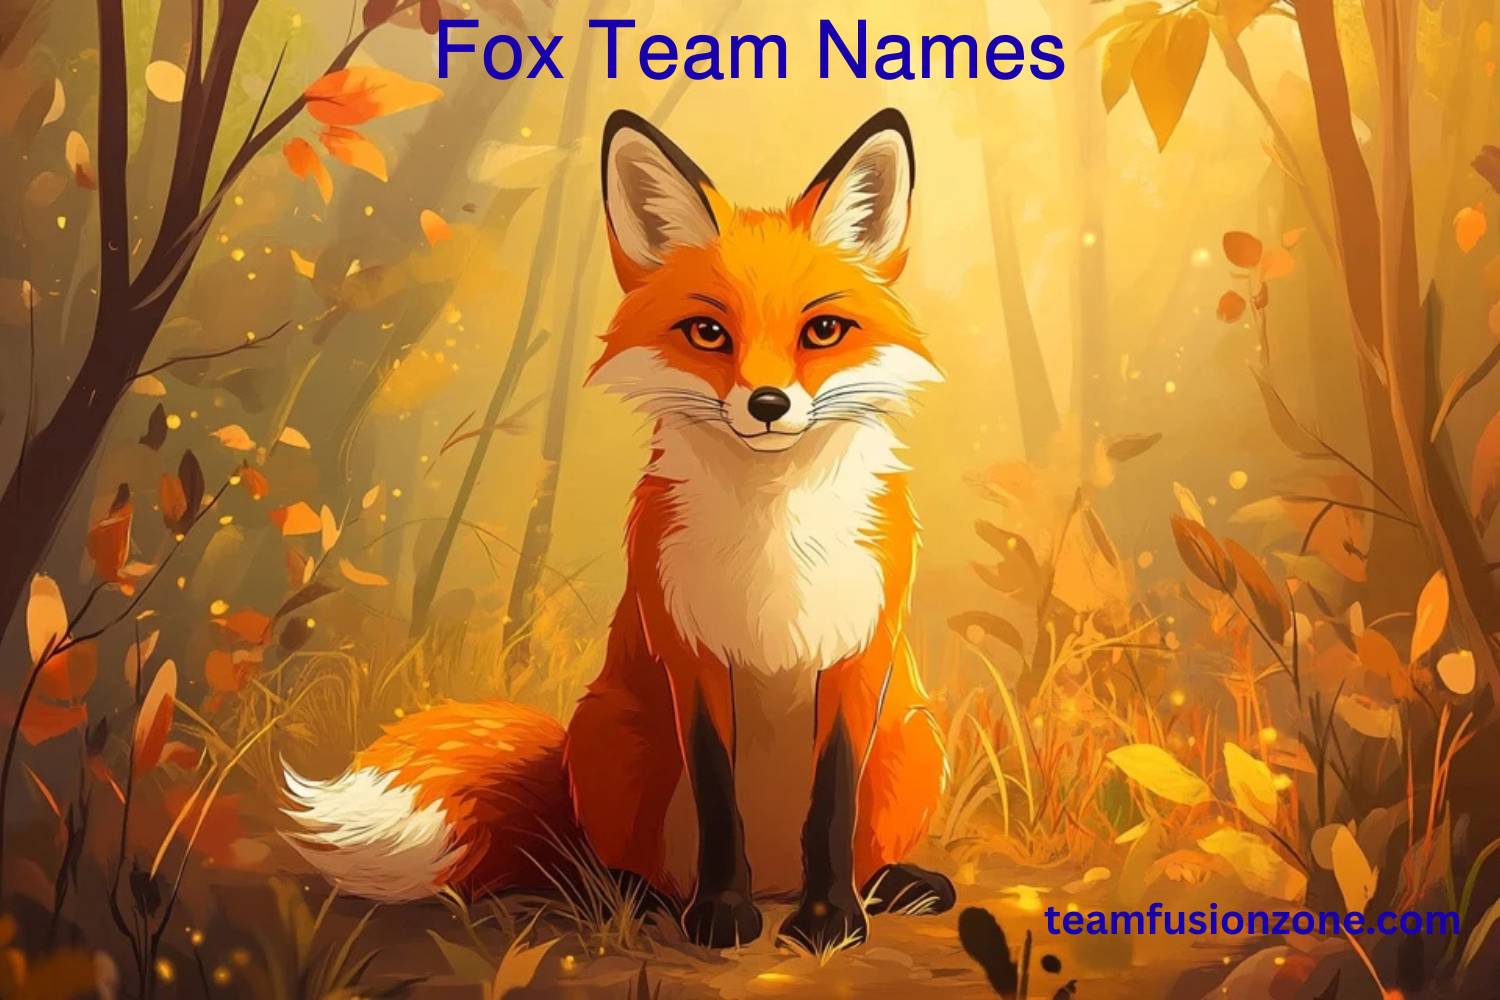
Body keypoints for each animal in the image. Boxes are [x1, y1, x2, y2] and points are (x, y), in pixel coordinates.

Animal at [283, 107, 953, 951]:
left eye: (824, 330)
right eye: (707, 332)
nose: (767, 404)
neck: (775, 532)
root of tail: (776, 879)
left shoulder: (857, 654)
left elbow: (831, 805)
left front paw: (831, 919)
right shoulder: (691, 654)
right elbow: (717, 796)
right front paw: (719, 915)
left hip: (913, 737)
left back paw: (893, 885)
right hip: (614, 735)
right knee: (607, 866)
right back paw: (643, 900)